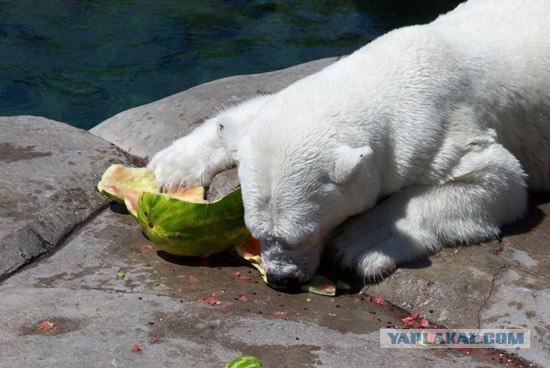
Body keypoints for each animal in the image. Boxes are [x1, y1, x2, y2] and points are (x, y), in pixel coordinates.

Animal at [148, 0, 550, 288]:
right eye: (256, 232)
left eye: (302, 234)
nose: (280, 279)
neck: (386, 77)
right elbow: (242, 117)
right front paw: (170, 167)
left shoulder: (438, 130)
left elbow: (499, 180)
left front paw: (358, 241)